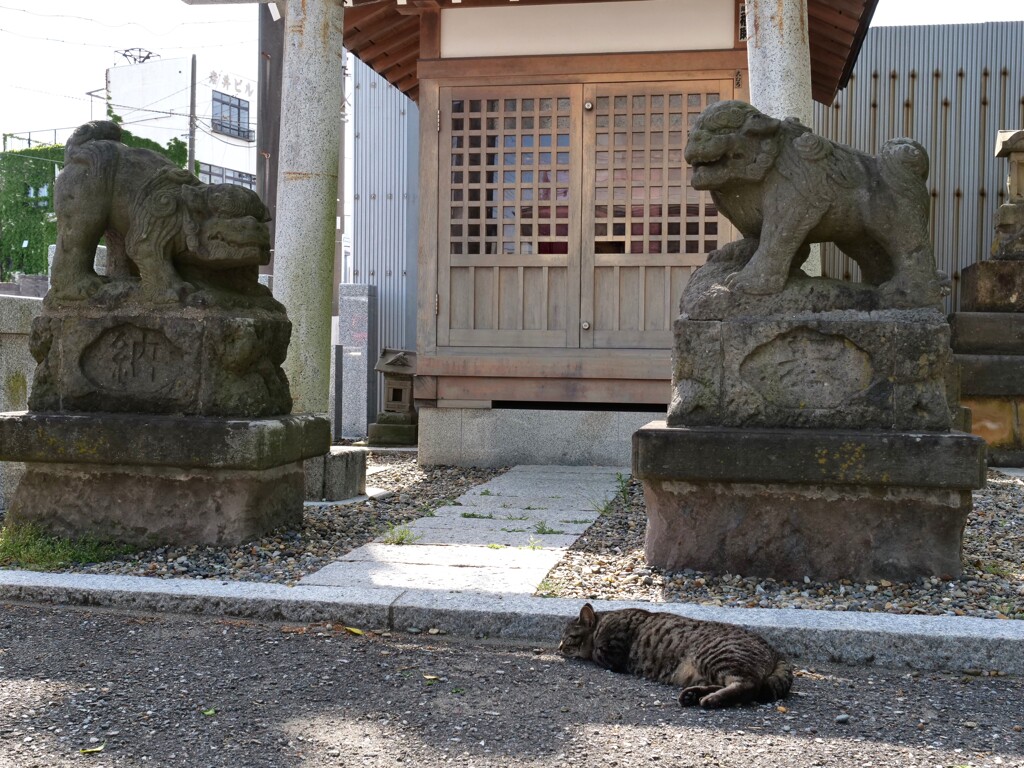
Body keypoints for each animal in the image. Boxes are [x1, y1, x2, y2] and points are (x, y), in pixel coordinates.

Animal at [561, 606, 790, 708]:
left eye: (568, 637)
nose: (559, 646)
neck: (604, 620)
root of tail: (776, 651)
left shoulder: (612, 652)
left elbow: (594, 652)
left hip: (717, 656)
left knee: (749, 686)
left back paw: (709, 699)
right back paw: (693, 695)